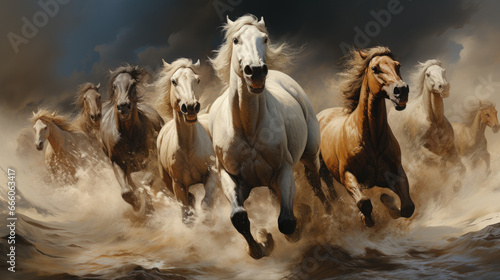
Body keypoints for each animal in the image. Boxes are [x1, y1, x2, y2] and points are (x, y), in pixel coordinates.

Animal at [99, 64, 164, 211]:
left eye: (133, 84)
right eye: (115, 86)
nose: (123, 106)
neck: (128, 135)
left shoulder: (152, 160)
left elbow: (145, 183)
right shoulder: (117, 163)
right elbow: (126, 191)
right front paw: (138, 205)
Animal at [156, 58, 217, 223]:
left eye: (197, 80)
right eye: (173, 81)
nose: (190, 107)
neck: (189, 148)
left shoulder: (212, 175)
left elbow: (206, 203)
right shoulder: (178, 185)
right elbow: (186, 212)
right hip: (167, 182)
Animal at [206, 13, 324, 258]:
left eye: (265, 39)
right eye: (236, 40)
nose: (257, 71)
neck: (248, 127)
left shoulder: (284, 170)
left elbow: (287, 222)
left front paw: (282, 234)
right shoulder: (230, 176)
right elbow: (239, 217)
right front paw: (260, 245)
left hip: (309, 155)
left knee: (317, 183)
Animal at [318, 47, 416, 226]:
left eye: (397, 65)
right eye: (375, 69)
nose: (402, 90)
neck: (373, 142)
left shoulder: (395, 174)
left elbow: (407, 207)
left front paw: (386, 200)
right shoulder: (347, 175)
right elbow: (363, 202)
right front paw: (365, 218)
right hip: (320, 168)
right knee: (326, 186)